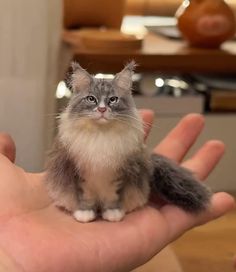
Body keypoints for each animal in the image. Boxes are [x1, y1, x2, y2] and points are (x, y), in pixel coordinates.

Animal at [45, 61, 211, 223]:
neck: (101, 135)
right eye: (91, 99)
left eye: (113, 99)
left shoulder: (118, 175)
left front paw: (113, 214)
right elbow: (85, 199)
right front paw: (85, 215)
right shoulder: (80, 175)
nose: (102, 110)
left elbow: (113, 199)